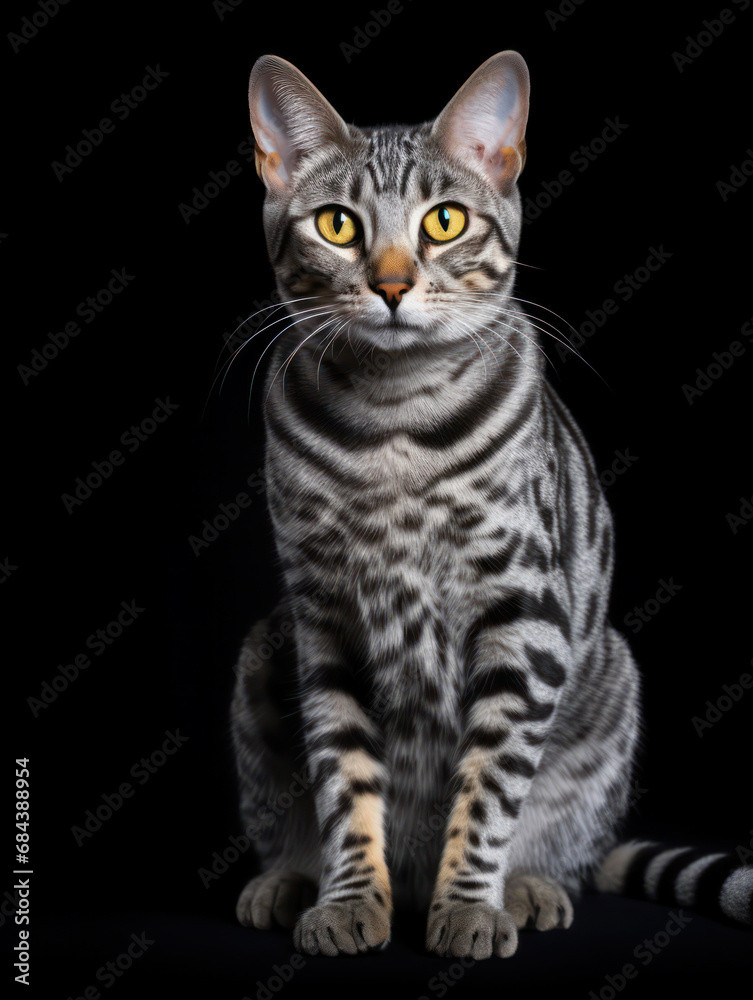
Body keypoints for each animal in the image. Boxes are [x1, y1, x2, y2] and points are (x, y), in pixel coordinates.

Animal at [228, 50, 748, 956]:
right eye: (336, 226)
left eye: (443, 223)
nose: (391, 284)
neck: (393, 422)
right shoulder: (324, 618)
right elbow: (342, 781)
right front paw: (348, 899)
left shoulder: (522, 613)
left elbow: (490, 786)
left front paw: (469, 906)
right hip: (263, 651)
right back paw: (289, 882)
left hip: (610, 676)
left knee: (567, 845)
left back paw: (528, 888)